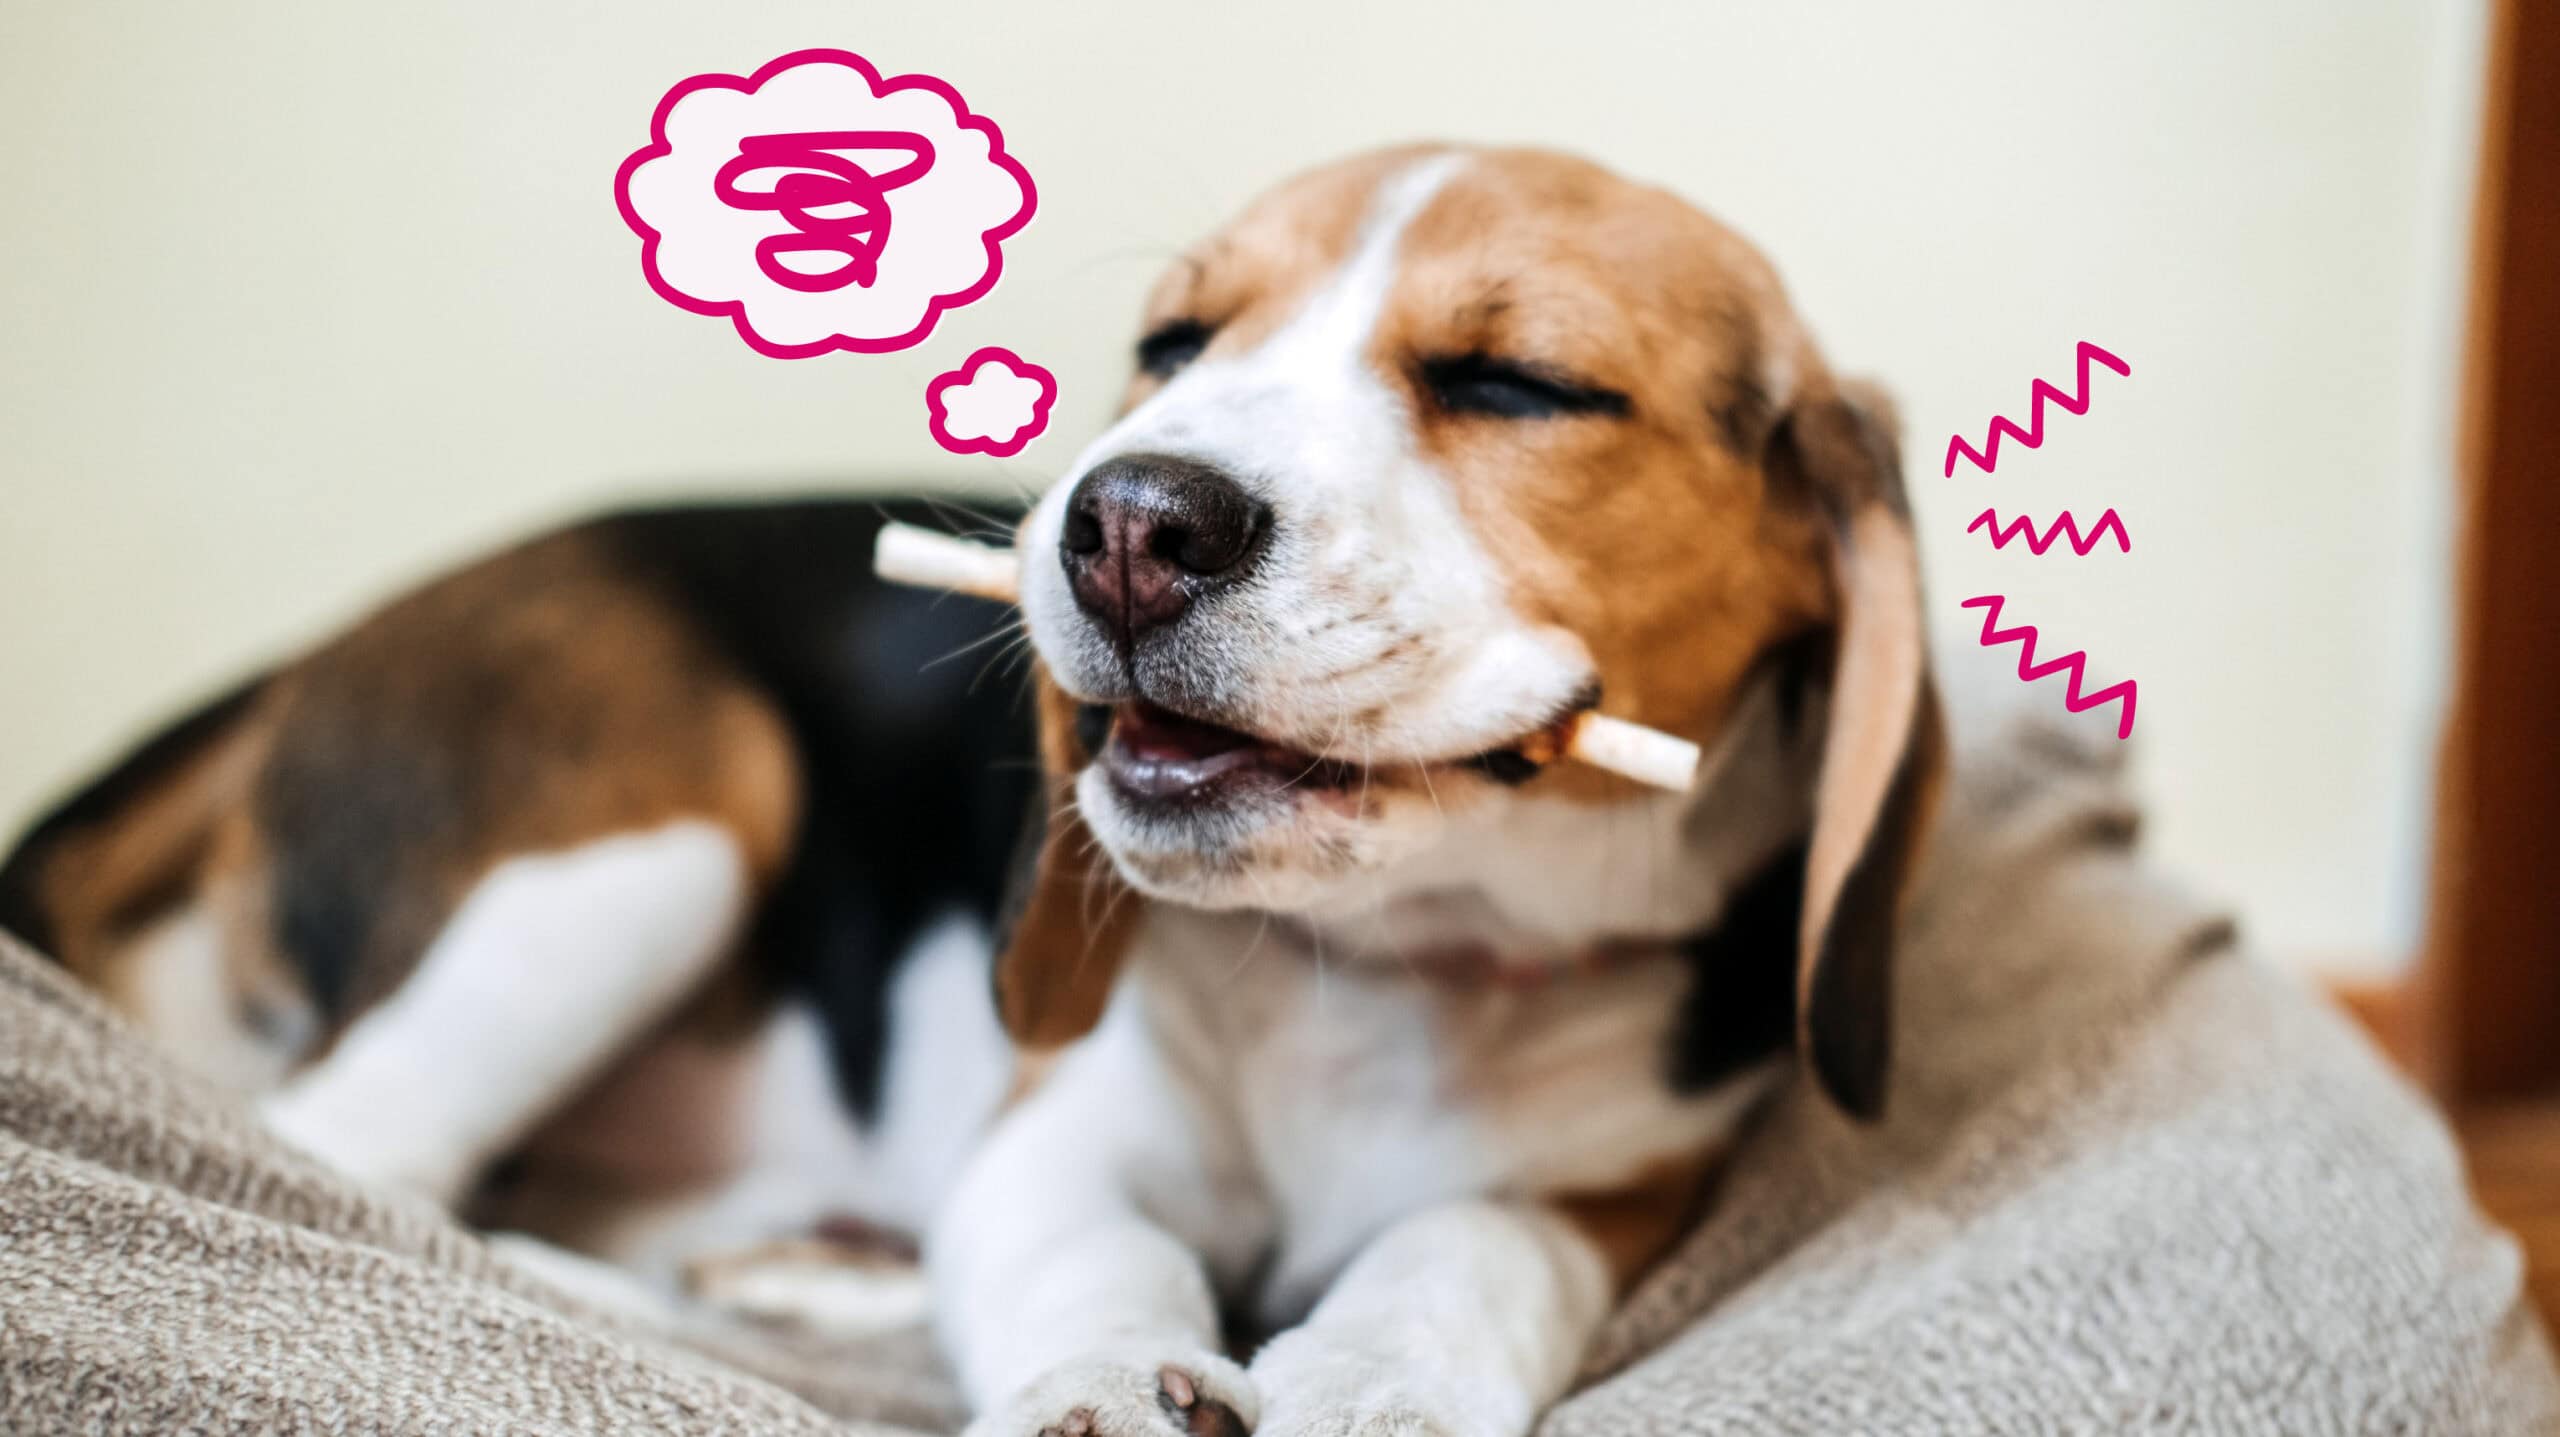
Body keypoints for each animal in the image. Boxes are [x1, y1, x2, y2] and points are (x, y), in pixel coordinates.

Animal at [0, 146, 1925, 1434]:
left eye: (1518, 383)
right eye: (1177, 345)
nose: (1127, 521)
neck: (1387, 962)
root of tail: (310, 654)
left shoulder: (1619, 1187)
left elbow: (1469, 1245)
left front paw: (1381, 1380)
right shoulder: (1052, 1132)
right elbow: (1099, 1256)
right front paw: (1109, 1382)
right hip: (661, 838)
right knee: (351, 1159)